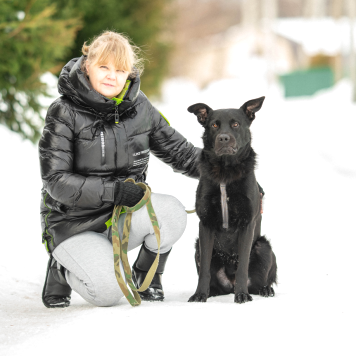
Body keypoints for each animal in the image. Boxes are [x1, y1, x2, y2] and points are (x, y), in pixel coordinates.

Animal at [188, 96, 276, 304]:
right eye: (214, 125)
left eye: (235, 124)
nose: (223, 138)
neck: (225, 173)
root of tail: (229, 282)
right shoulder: (205, 224)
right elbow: (204, 270)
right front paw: (199, 294)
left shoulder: (247, 224)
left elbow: (243, 266)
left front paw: (241, 295)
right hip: (197, 246)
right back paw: (211, 291)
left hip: (263, 247)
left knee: (260, 282)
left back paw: (264, 290)